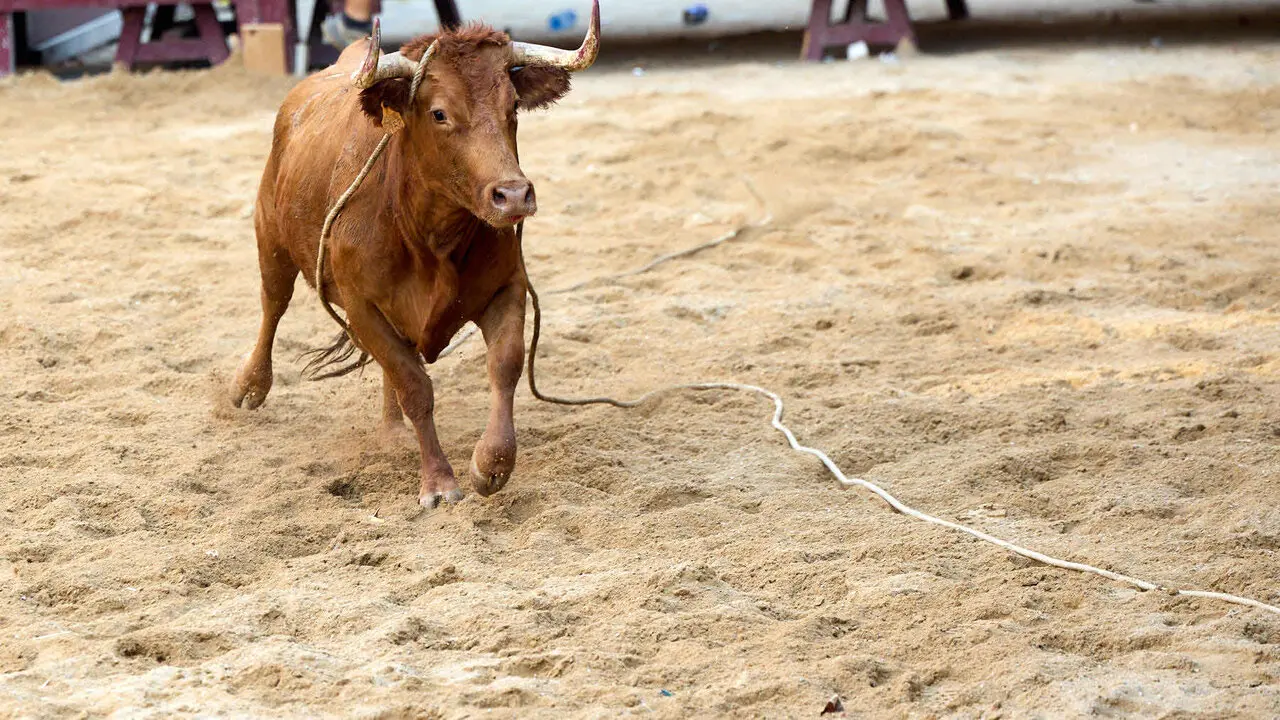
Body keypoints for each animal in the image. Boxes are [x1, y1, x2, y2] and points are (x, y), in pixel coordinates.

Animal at [231, 2, 600, 507]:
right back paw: (249, 386)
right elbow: (415, 385)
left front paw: (492, 464)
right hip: (270, 238)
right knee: (273, 304)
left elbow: (504, 365)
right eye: (439, 113)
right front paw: (439, 482)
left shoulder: (507, 288)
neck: (429, 237)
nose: (513, 195)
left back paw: (393, 433)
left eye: (512, 108)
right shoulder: (362, 307)